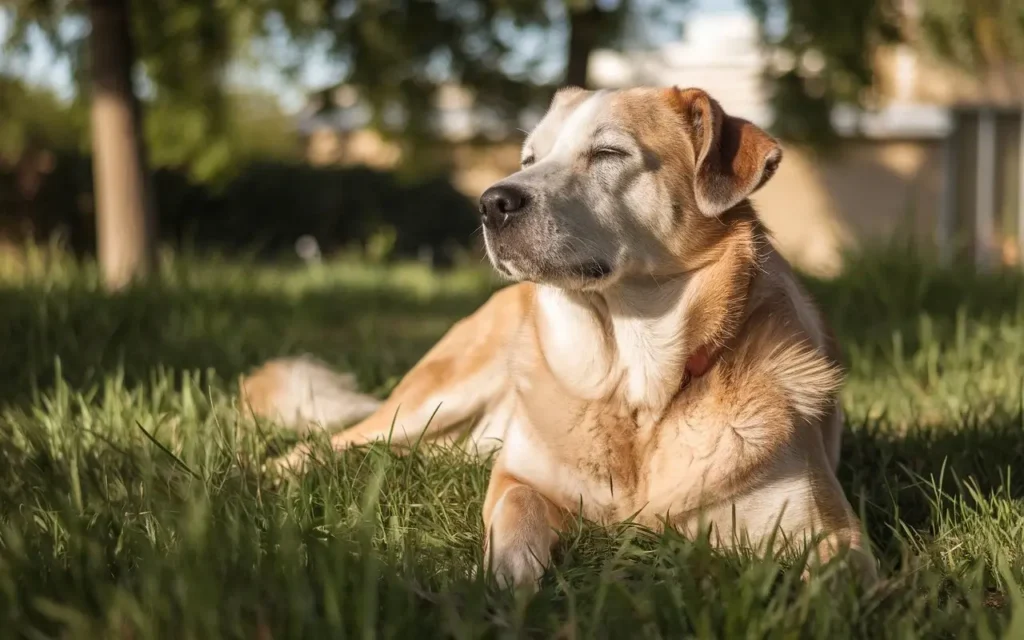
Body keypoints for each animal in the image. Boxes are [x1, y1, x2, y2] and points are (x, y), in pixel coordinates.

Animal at [237, 86, 872, 589]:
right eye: (530, 157)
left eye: (608, 153)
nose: (491, 202)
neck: (636, 392)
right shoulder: (518, 478)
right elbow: (518, 507)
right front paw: (509, 576)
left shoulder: (834, 535)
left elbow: (834, 588)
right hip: (433, 398)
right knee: (325, 444)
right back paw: (251, 476)